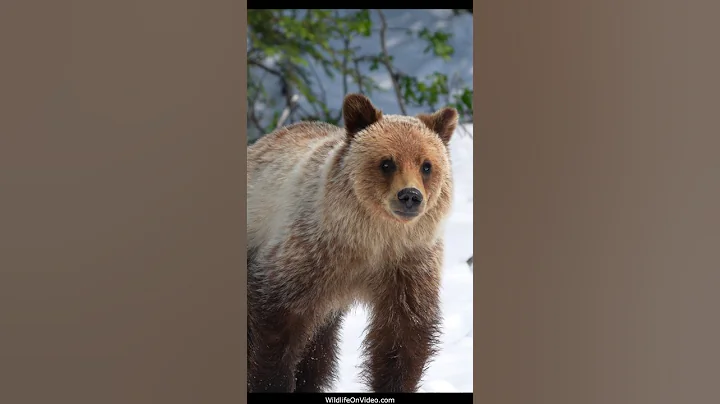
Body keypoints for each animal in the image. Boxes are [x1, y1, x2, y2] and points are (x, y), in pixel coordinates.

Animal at [246, 93, 458, 393]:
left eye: (426, 165)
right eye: (387, 162)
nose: (410, 196)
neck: (369, 239)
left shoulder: (407, 265)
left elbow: (402, 337)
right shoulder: (307, 255)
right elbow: (278, 326)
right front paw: (272, 381)